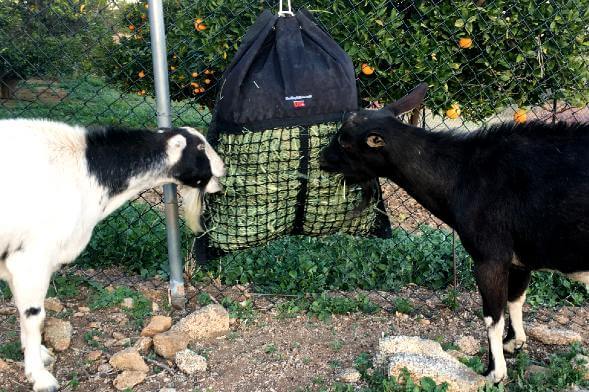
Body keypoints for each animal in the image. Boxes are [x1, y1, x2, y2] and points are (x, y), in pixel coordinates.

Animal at [0, 118, 223, 390]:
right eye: (200, 147)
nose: (222, 169)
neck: (88, 169)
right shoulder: (31, 258)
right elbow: (34, 316)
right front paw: (40, 376)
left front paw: (38, 355)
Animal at [320, 84, 588, 384]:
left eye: (345, 142)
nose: (321, 159)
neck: (461, 173)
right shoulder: (519, 258)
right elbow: (516, 298)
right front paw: (514, 343)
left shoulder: (490, 256)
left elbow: (492, 317)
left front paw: (493, 372)